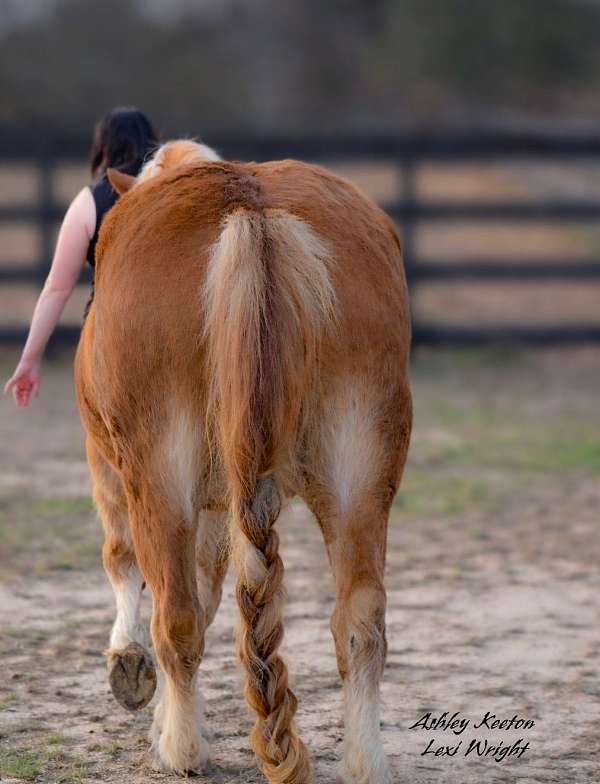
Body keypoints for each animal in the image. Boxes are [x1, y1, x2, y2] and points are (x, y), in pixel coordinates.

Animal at [75, 140, 412, 784]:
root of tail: (251, 212)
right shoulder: (216, 506)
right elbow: (208, 591)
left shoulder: (114, 471)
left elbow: (125, 563)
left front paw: (131, 673)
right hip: (362, 464)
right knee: (361, 624)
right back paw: (365, 759)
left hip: (158, 474)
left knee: (175, 616)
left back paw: (182, 750)